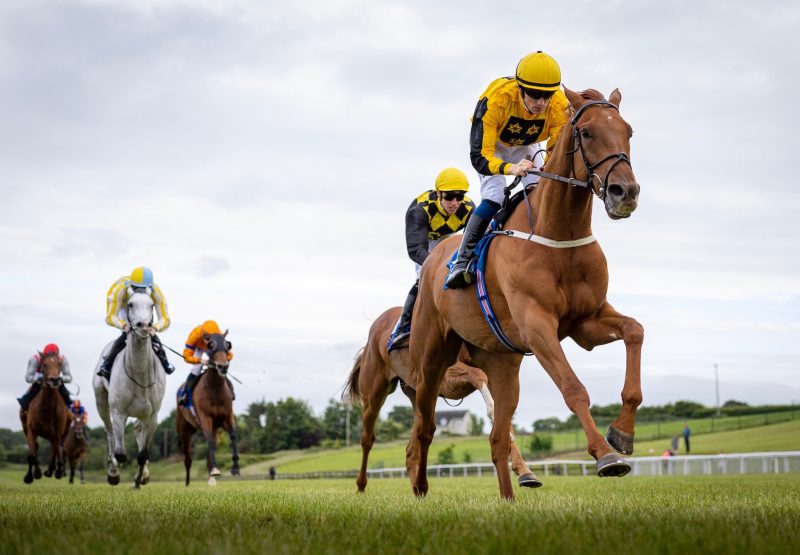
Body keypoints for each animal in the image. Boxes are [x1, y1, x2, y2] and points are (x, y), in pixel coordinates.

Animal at [18, 354, 69, 484]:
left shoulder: (57, 433)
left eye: (59, 364)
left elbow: (55, 452)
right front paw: (34, 473)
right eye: (44, 365)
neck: (47, 407)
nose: (54, 380)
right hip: (25, 427)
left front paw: (52, 470)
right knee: (34, 448)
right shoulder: (31, 430)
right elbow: (32, 454)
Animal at [175, 332, 238, 488]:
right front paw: (215, 469)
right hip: (185, 430)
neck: (214, 389)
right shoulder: (205, 418)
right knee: (187, 458)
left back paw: (211, 478)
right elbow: (209, 441)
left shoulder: (228, 415)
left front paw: (235, 468)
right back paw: (187, 483)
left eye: (228, 345)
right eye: (210, 345)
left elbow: (233, 436)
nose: (222, 366)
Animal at [346, 306, 544, 494]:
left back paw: (417, 489)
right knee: (367, 439)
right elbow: (478, 376)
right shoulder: (445, 376)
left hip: (418, 399)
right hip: (374, 396)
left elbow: (504, 419)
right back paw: (361, 486)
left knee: (411, 450)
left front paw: (525, 472)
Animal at [406, 88, 644, 500]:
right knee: (425, 427)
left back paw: (510, 496)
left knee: (497, 437)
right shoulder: (537, 326)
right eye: (586, 132)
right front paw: (605, 455)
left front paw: (622, 432)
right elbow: (573, 388)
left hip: (501, 365)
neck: (557, 234)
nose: (624, 192)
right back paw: (420, 487)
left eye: (628, 131)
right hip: (431, 359)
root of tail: (435, 258)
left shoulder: (586, 321)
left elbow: (634, 330)